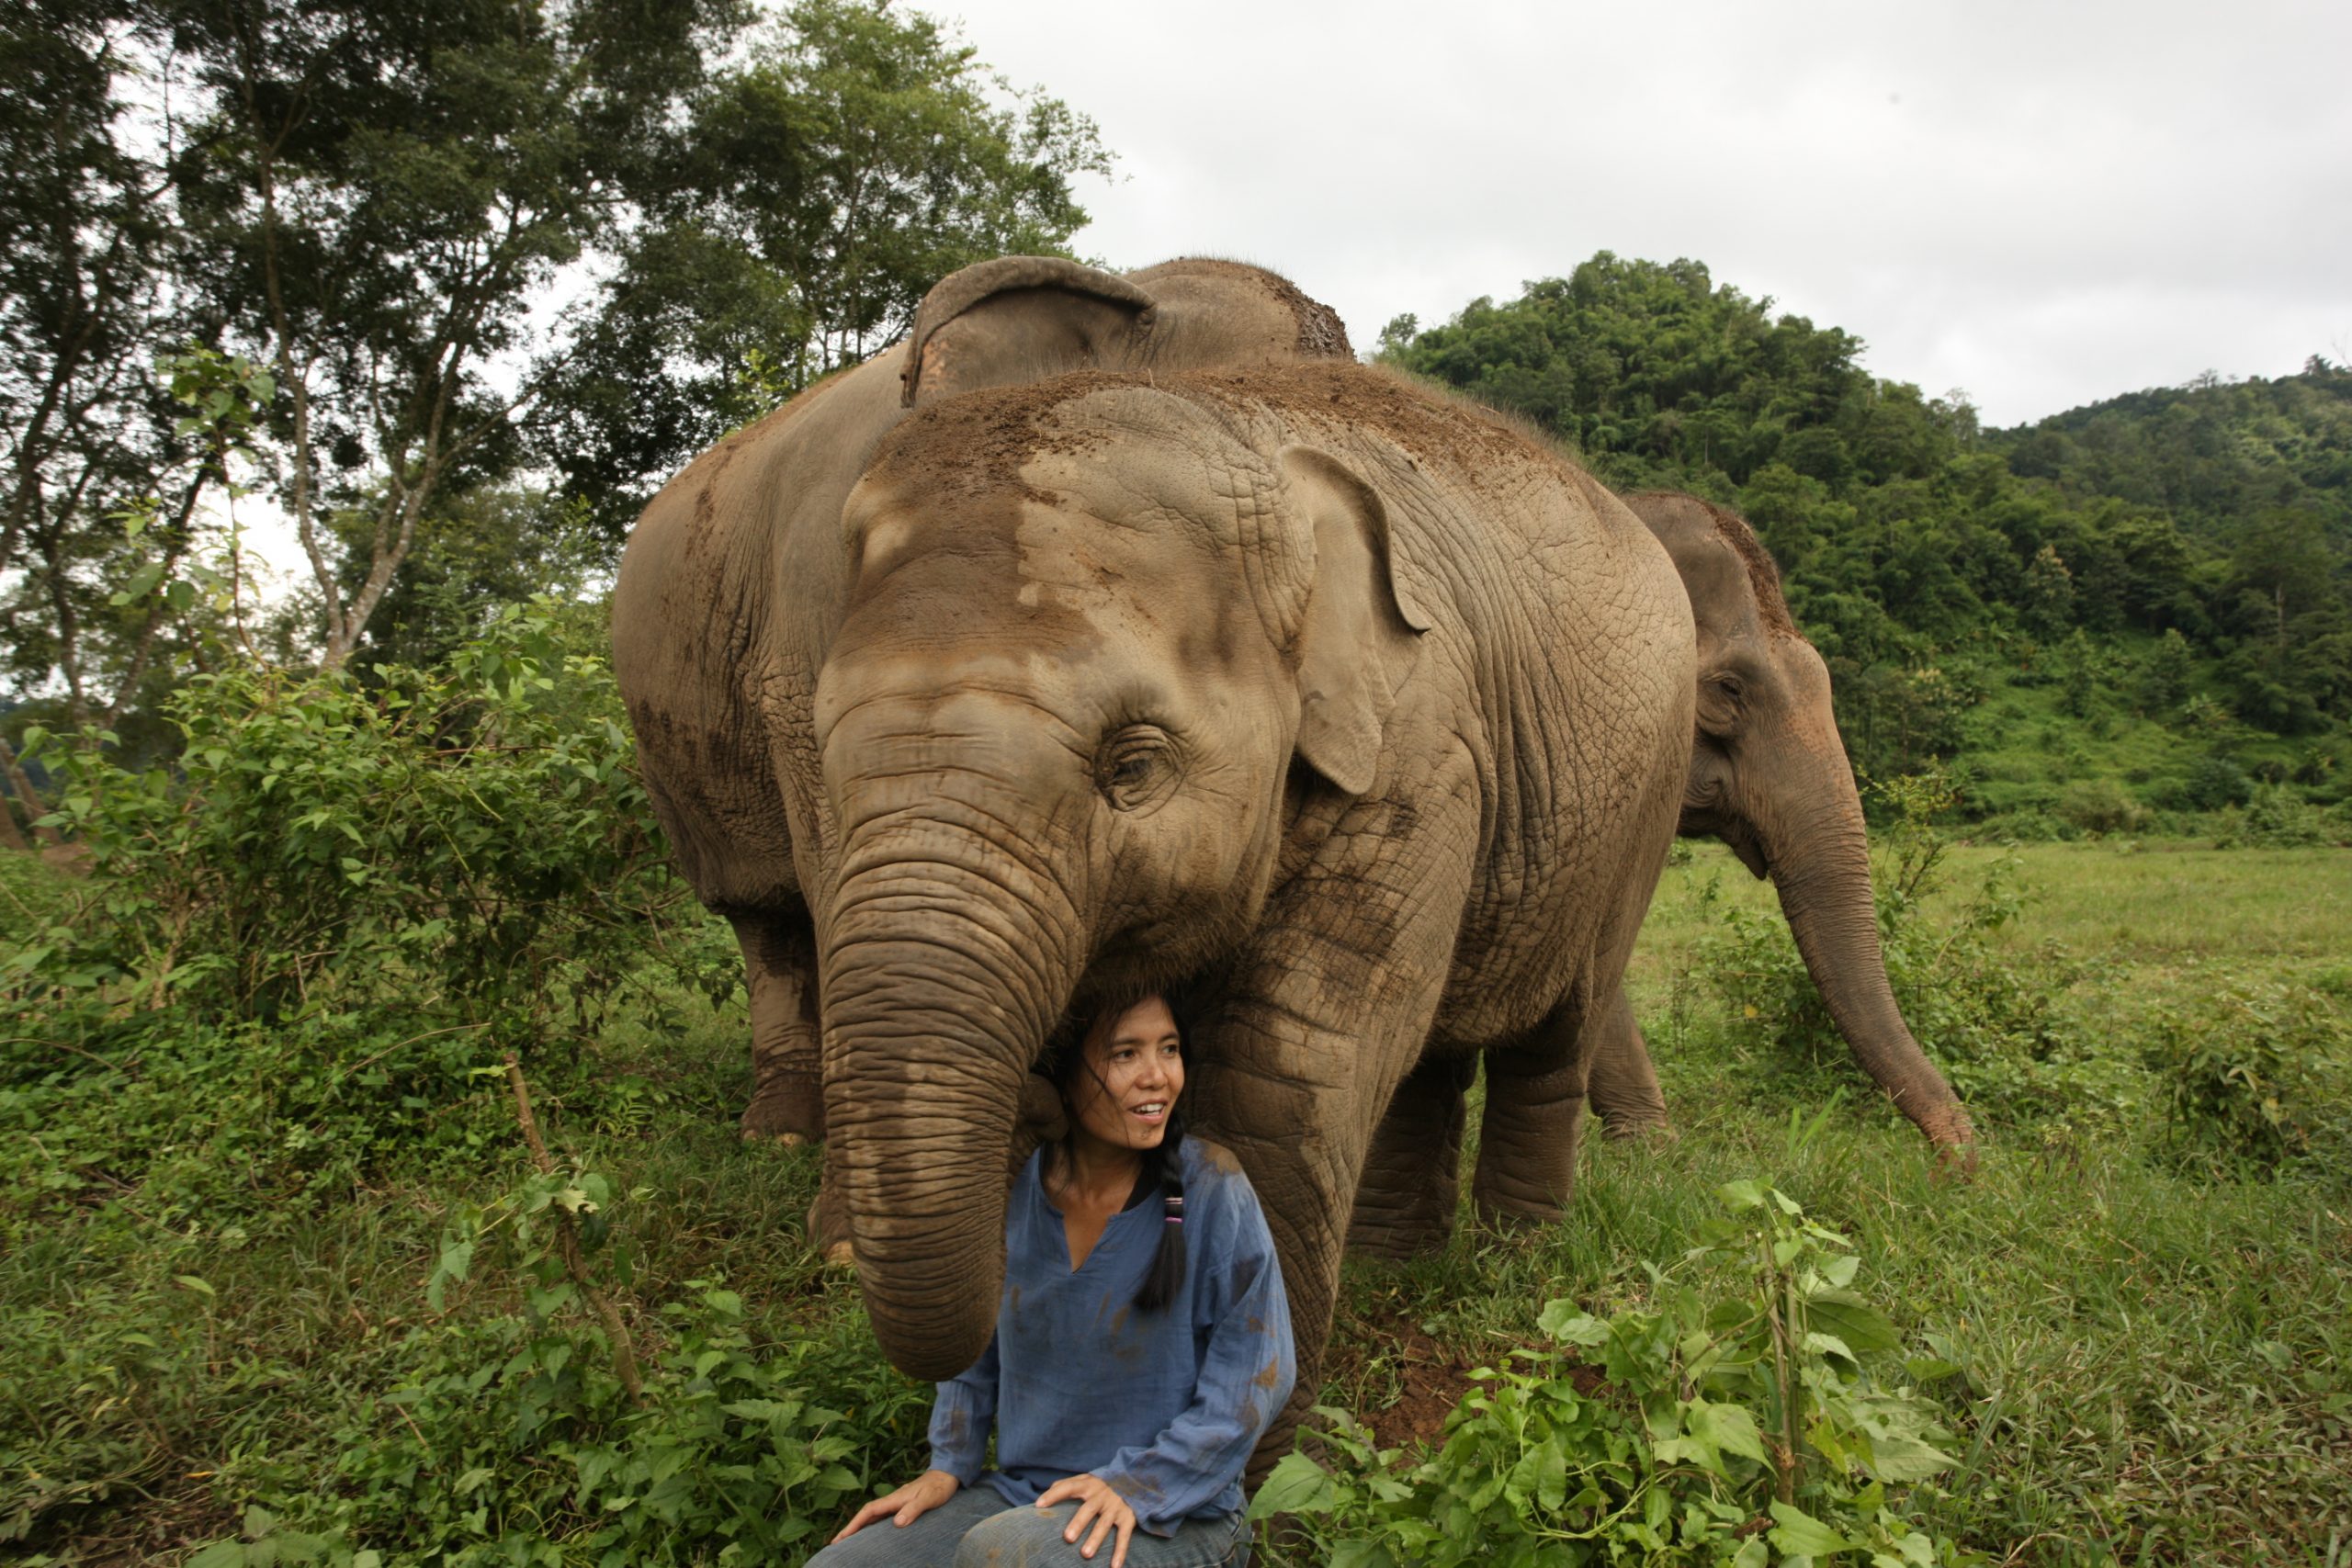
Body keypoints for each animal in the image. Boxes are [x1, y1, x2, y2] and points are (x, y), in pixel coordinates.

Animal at [616, 359, 1702, 1476]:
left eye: (1132, 766)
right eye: (823, 762)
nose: (1040, 1096)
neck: (1234, 426)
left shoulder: (1422, 746)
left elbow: (1284, 1066)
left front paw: (1255, 1473)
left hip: (1639, 806)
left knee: (1555, 1034)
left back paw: (1512, 1265)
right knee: (1428, 1057)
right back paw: (1392, 1270)